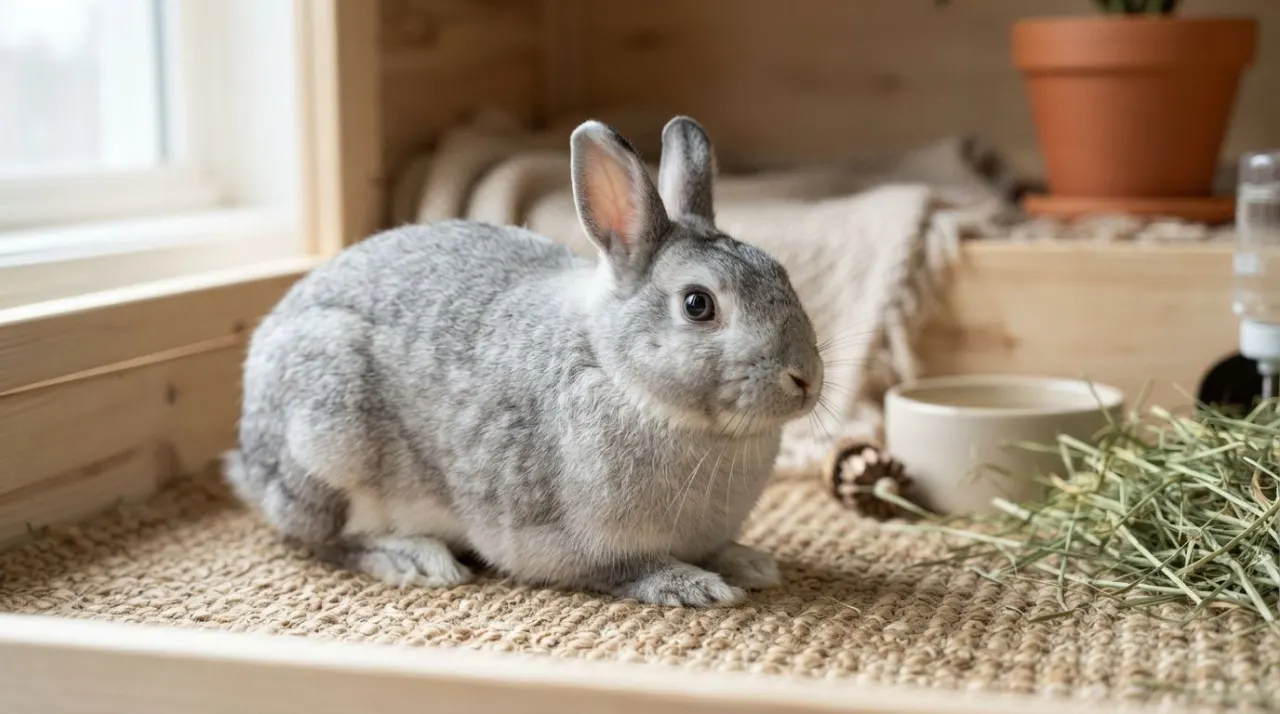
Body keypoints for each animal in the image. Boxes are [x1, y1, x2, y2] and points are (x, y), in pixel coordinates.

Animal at [223, 116, 825, 607]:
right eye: (698, 304)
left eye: (781, 274)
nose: (805, 379)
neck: (617, 372)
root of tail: (250, 460)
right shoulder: (574, 541)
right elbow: (626, 570)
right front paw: (692, 586)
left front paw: (751, 563)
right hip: (328, 442)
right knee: (323, 539)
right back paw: (416, 559)